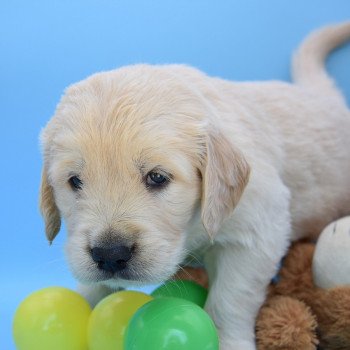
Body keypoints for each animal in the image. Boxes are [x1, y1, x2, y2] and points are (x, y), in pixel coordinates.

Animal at [39, 23, 348, 348]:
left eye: (157, 177)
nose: (110, 254)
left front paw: (228, 341)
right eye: (75, 181)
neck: (192, 229)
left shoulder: (259, 230)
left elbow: (231, 298)